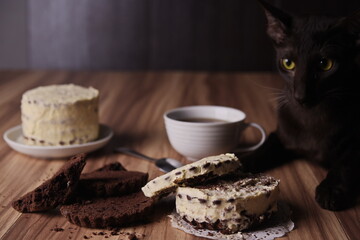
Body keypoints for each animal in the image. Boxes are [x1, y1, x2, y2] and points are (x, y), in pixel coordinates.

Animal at [242, 0, 360, 210]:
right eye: (288, 63)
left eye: (325, 64)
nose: (301, 96)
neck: (312, 119)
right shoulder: (281, 135)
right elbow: (264, 148)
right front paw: (241, 161)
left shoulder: (356, 142)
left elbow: (346, 162)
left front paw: (331, 190)